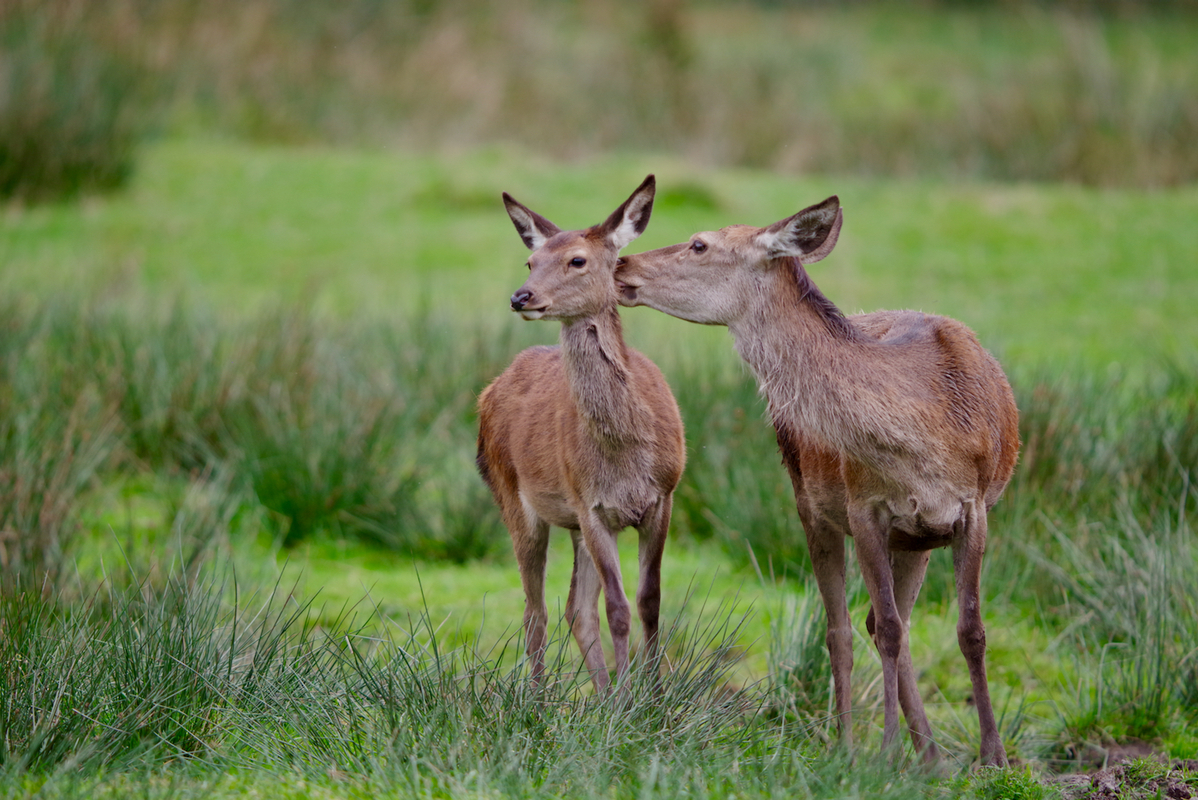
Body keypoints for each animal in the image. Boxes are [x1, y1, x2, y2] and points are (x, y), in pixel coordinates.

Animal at [474, 174, 685, 694]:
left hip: (572, 523)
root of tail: (490, 389)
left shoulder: (663, 496)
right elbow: (618, 607)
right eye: (530, 261)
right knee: (537, 610)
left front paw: (652, 695)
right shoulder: (591, 504)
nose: (521, 297)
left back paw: (602, 695)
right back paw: (539, 697)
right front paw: (633, 698)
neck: (626, 456)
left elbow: (649, 601)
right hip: (514, 496)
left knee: (575, 608)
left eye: (577, 260)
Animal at [618, 195, 1020, 766]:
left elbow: (971, 629)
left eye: (699, 244)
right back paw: (853, 746)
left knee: (885, 621)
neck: (927, 441)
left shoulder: (973, 507)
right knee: (847, 629)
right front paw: (886, 755)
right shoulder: (864, 507)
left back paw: (931, 757)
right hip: (811, 505)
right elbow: (887, 629)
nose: (620, 265)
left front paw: (994, 757)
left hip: (918, 536)